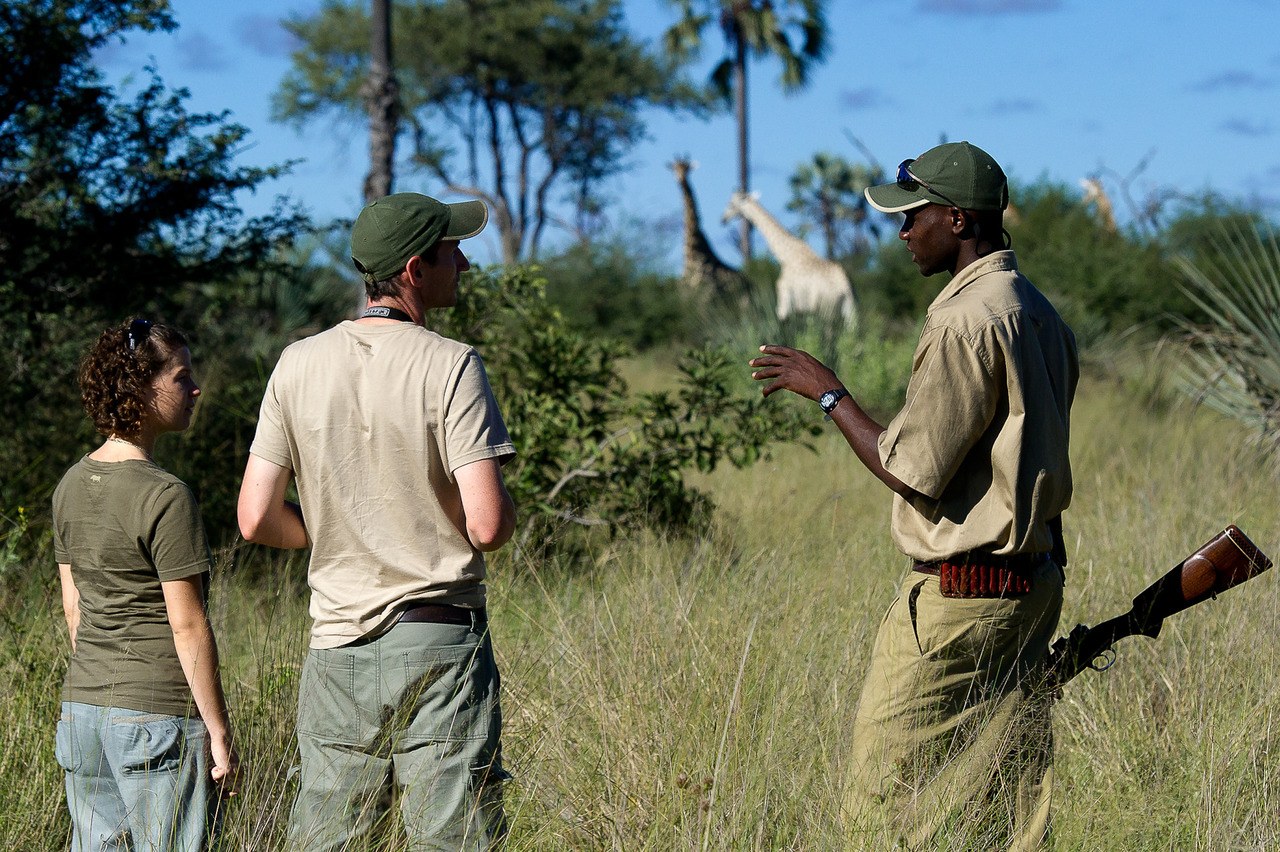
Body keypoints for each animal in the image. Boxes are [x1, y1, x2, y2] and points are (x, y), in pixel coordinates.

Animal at [721, 191, 860, 324]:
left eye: (732, 203)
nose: (723, 219)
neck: (785, 256)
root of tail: (845, 289)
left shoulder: (784, 301)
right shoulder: (803, 310)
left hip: (826, 311)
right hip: (850, 312)